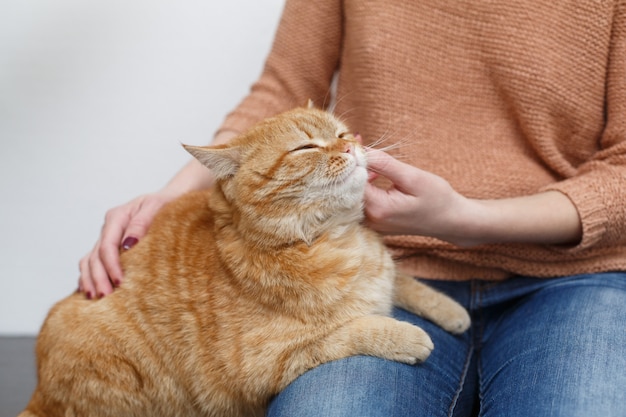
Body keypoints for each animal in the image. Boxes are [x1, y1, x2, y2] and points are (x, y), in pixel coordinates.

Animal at [20, 105, 468, 416]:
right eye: (306, 146)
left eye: (341, 132)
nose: (350, 146)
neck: (336, 238)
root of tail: (38, 395)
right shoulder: (265, 364)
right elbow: (347, 330)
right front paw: (405, 335)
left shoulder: (385, 271)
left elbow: (405, 281)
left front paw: (452, 312)